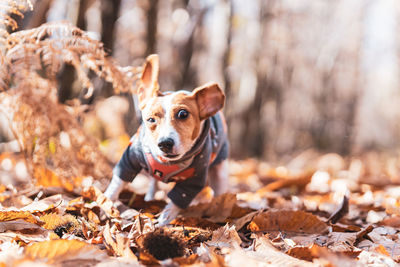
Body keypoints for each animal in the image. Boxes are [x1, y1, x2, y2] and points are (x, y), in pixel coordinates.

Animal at [104, 54, 228, 226]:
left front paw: (163, 220)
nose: (165, 143)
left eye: (183, 114)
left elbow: (176, 201)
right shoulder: (130, 157)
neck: (168, 163)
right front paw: (103, 203)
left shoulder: (194, 178)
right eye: (150, 119)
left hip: (220, 167)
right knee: (153, 182)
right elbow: (118, 182)